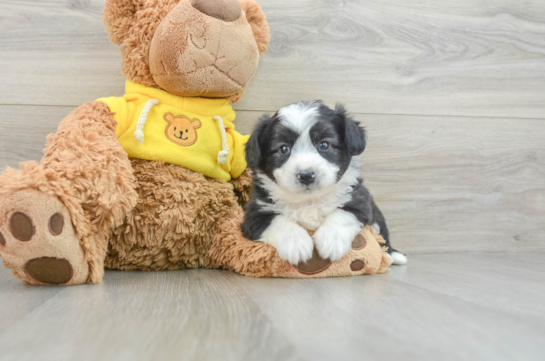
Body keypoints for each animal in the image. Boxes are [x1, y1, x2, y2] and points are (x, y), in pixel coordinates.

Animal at [240, 98, 406, 264]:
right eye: (284, 148)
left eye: (324, 144)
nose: (306, 175)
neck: (309, 200)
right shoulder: (254, 215)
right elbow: (278, 221)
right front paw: (296, 243)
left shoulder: (359, 202)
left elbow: (342, 214)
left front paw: (332, 241)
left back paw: (391, 256)